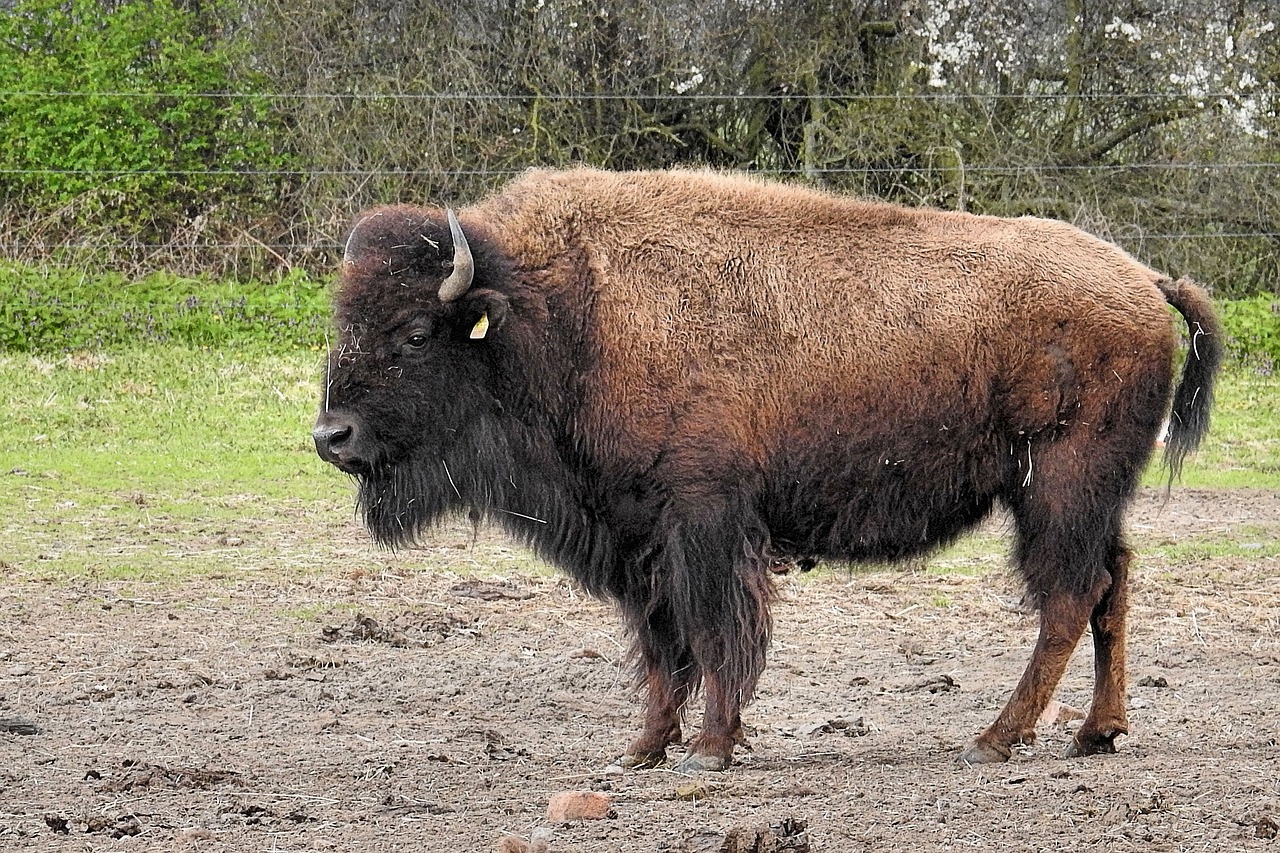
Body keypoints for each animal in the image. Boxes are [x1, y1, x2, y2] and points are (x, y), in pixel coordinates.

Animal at [309, 166, 1218, 768]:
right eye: (343, 320)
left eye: (416, 332)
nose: (331, 435)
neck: (563, 315)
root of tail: (1145, 280)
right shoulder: (639, 536)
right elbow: (660, 643)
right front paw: (643, 749)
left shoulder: (704, 518)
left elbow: (714, 631)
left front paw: (713, 747)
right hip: (1095, 495)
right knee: (1112, 585)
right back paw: (1096, 732)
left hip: (1058, 486)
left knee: (1068, 595)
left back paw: (997, 737)